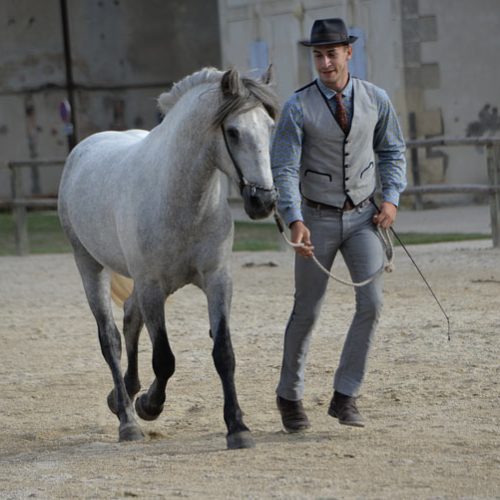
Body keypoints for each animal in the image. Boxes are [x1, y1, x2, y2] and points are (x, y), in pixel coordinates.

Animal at [57, 67, 282, 450]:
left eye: (268, 127)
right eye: (233, 132)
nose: (263, 201)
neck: (182, 198)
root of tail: (82, 149)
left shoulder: (217, 280)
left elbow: (224, 353)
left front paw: (238, 428)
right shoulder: (152, 286)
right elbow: (164, 359)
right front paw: (149, 405)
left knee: (131, 319)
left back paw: (125, 393)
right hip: (89, 265)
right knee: (111, 338)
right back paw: (127, 418)